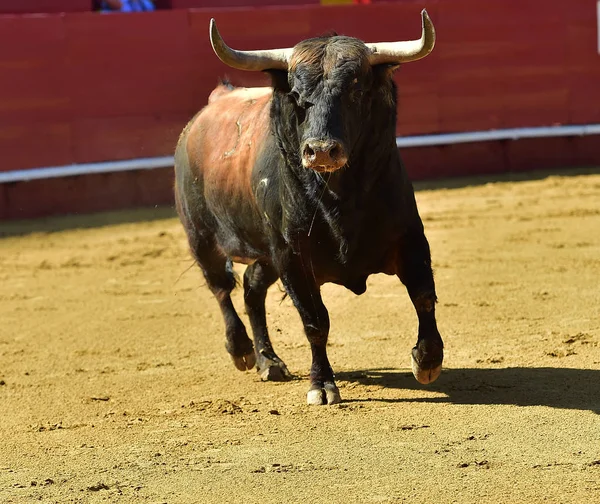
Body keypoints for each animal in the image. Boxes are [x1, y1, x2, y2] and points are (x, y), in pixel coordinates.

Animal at [175, 10, 446, 406]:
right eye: (298, 97)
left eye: (356, 91)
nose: (320, 150)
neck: (342, 198)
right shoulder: (292, 255)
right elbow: (315, 321)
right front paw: (322, 384)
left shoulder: (409, 237)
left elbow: (423, 295)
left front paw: (427, 360)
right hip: (203, 238)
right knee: (222, 288)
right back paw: (241, 350)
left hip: (265, 253)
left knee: (251, 288)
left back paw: (268, 360)